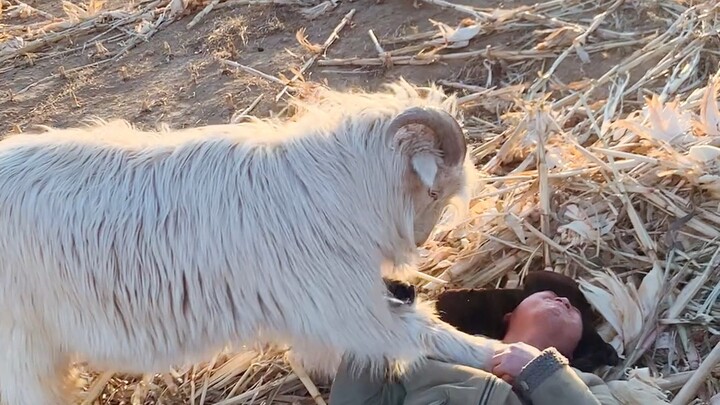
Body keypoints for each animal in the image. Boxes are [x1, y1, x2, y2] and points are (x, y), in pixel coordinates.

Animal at [0, 80, 504, 405]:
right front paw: (507, 354)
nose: (419, 242)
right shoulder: (346, 311)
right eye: (434, 192)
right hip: (21, 353)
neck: (330, 189)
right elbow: (432, 336)